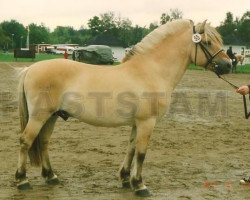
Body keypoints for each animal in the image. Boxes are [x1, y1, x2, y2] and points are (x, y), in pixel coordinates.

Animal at [15, 19, 230, 197]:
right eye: (208, 42)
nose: (229, 64)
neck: (150, 71)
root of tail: (30, 69)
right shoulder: (147, 122)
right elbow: (142, 153)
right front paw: (140, 185)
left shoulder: (137, 123)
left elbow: (131, 149)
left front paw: (126, 179)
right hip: (39, 116)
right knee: (26, 141)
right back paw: (22, 180)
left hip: (52, 116)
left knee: (43, 141)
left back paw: (51, 176)